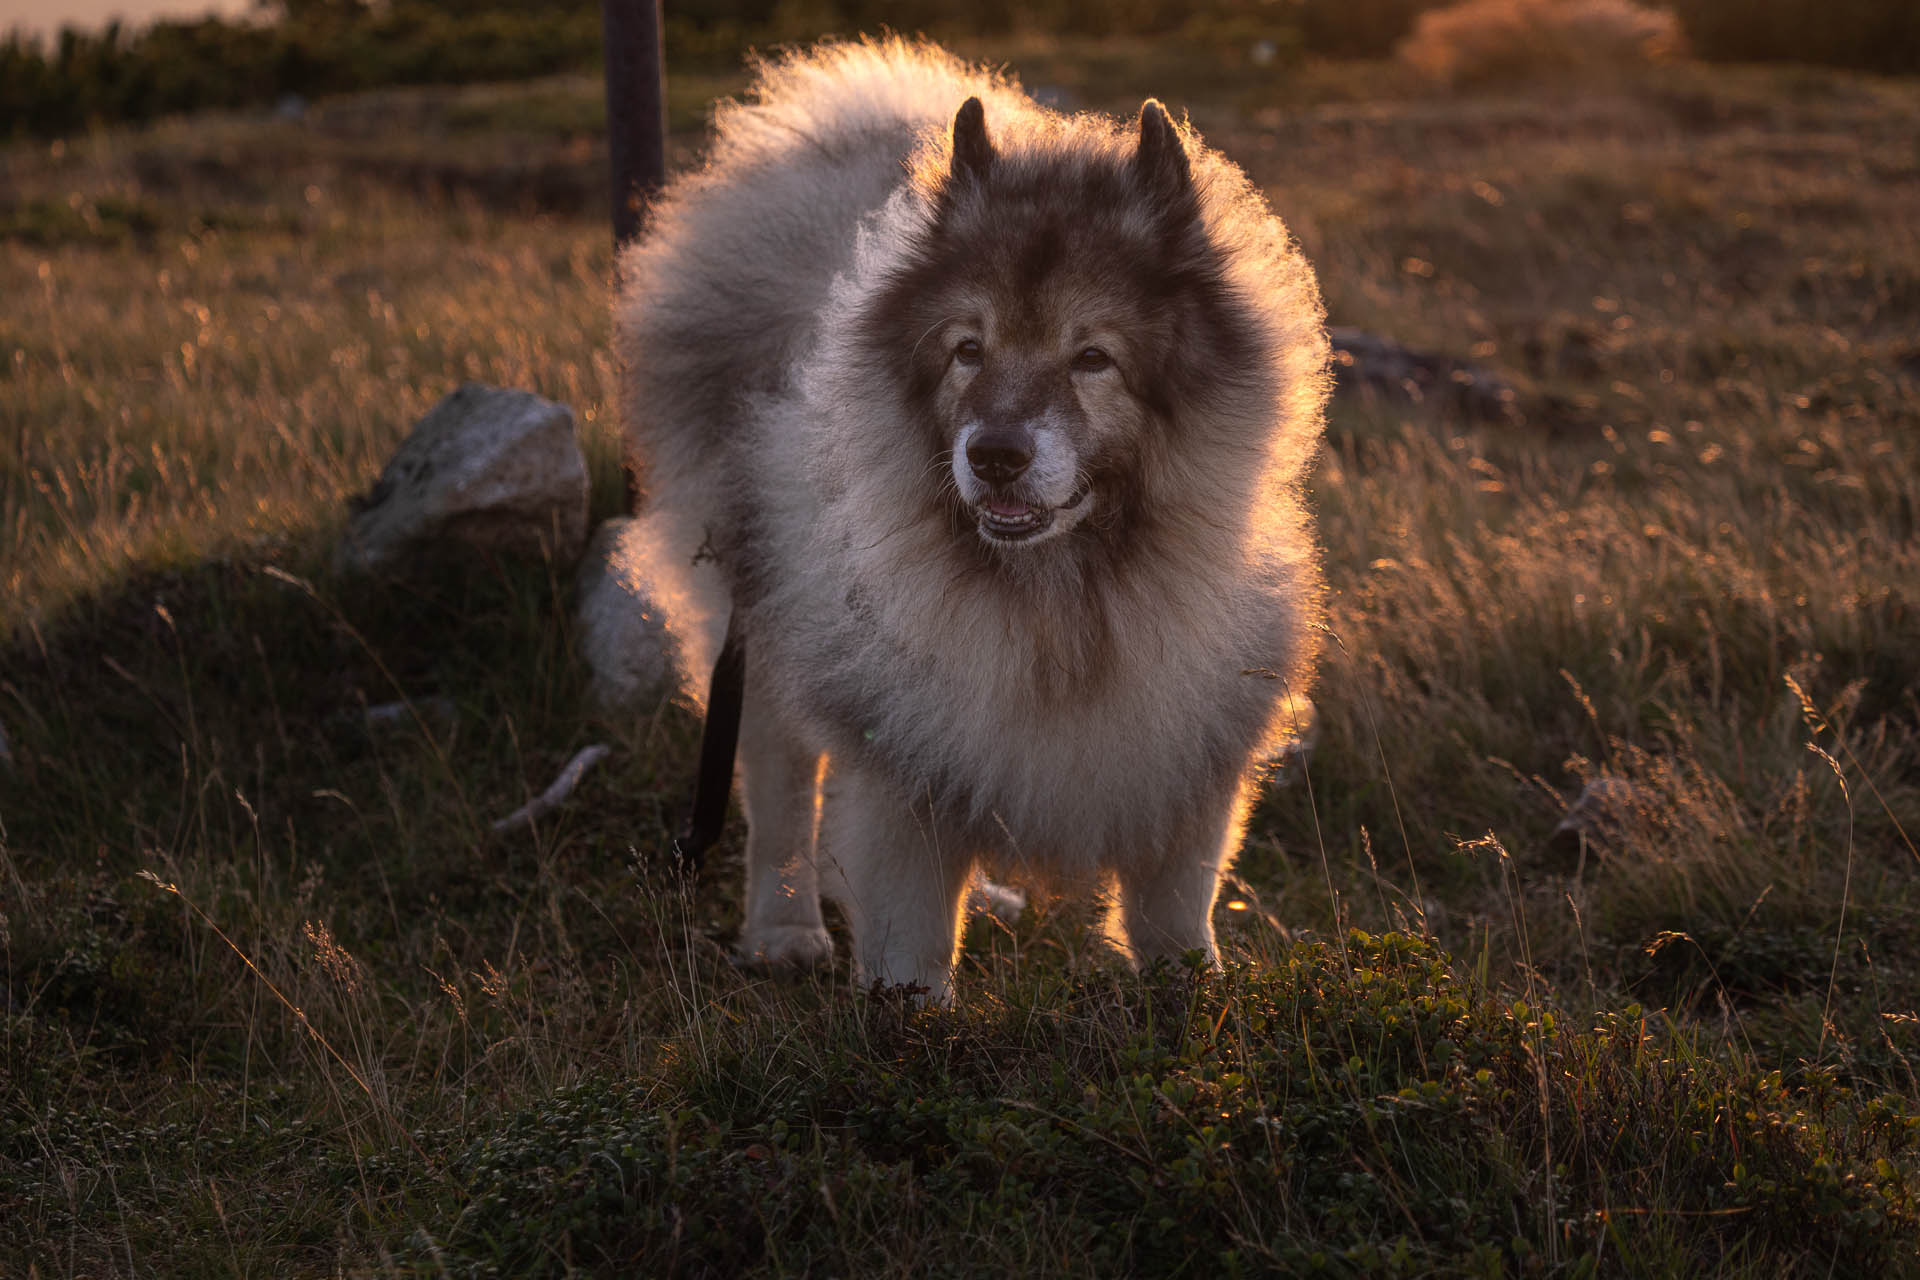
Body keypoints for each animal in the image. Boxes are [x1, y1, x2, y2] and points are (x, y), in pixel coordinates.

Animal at [606, 37, 1328, 997]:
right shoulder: (897, 754)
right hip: (759, 624)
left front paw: (1192, 997)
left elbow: (1175, 910)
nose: (995, 455)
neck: (1064, 599)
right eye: (968, 351)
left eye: (1092, 358)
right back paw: (785, 931)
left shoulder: (1187, 756)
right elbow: (908, 922)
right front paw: (906, 1006)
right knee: (782, 794)